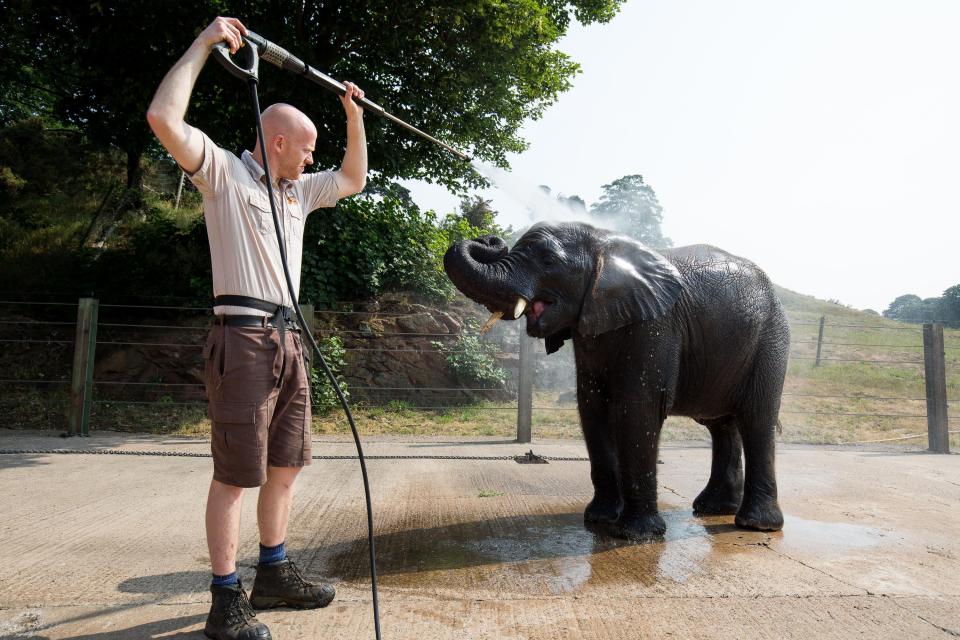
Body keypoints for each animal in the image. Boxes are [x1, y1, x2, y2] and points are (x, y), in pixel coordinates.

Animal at [442, 221, 788, 540]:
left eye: (548, 261)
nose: (490, 239)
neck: (603, 243)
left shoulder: (655, 325)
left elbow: (638, 408)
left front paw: (636, 536)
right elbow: (592, 408)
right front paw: (599, 520)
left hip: (771, 339)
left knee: (756, 418)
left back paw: (756, 525)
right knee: (721, 425)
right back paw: (711, 509)